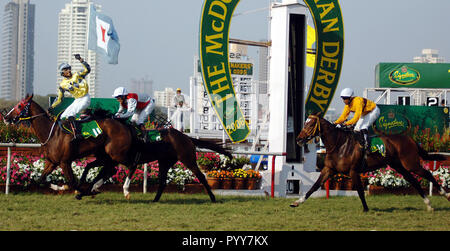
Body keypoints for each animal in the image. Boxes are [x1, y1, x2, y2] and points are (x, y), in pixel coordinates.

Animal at [3, 95, 135, 191]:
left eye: (20, 106)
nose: (5, 117)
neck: (51, 133)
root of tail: (124, 125)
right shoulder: (52, 162)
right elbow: (41, 179)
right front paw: (56, 186)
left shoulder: (65, 162)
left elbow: (72, 183)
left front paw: (70, 188)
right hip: (105, 155)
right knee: (111, 169)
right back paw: (97, 186)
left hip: (117, 154)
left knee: (132, 164)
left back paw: (125, 189)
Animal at [290, 113, 448, 211]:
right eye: (305, 123)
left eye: (311, 125)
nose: (298, 139)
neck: (339, 144)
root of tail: (410, 139)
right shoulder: (329, 169)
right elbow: (314, 186)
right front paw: (297, 202)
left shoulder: (353, 171)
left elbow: (360, 191)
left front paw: (366, 209)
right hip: (399, 166)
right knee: (414, 181)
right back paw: (429, 204)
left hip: (411, 164)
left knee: (428, 174)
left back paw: (445, 194)